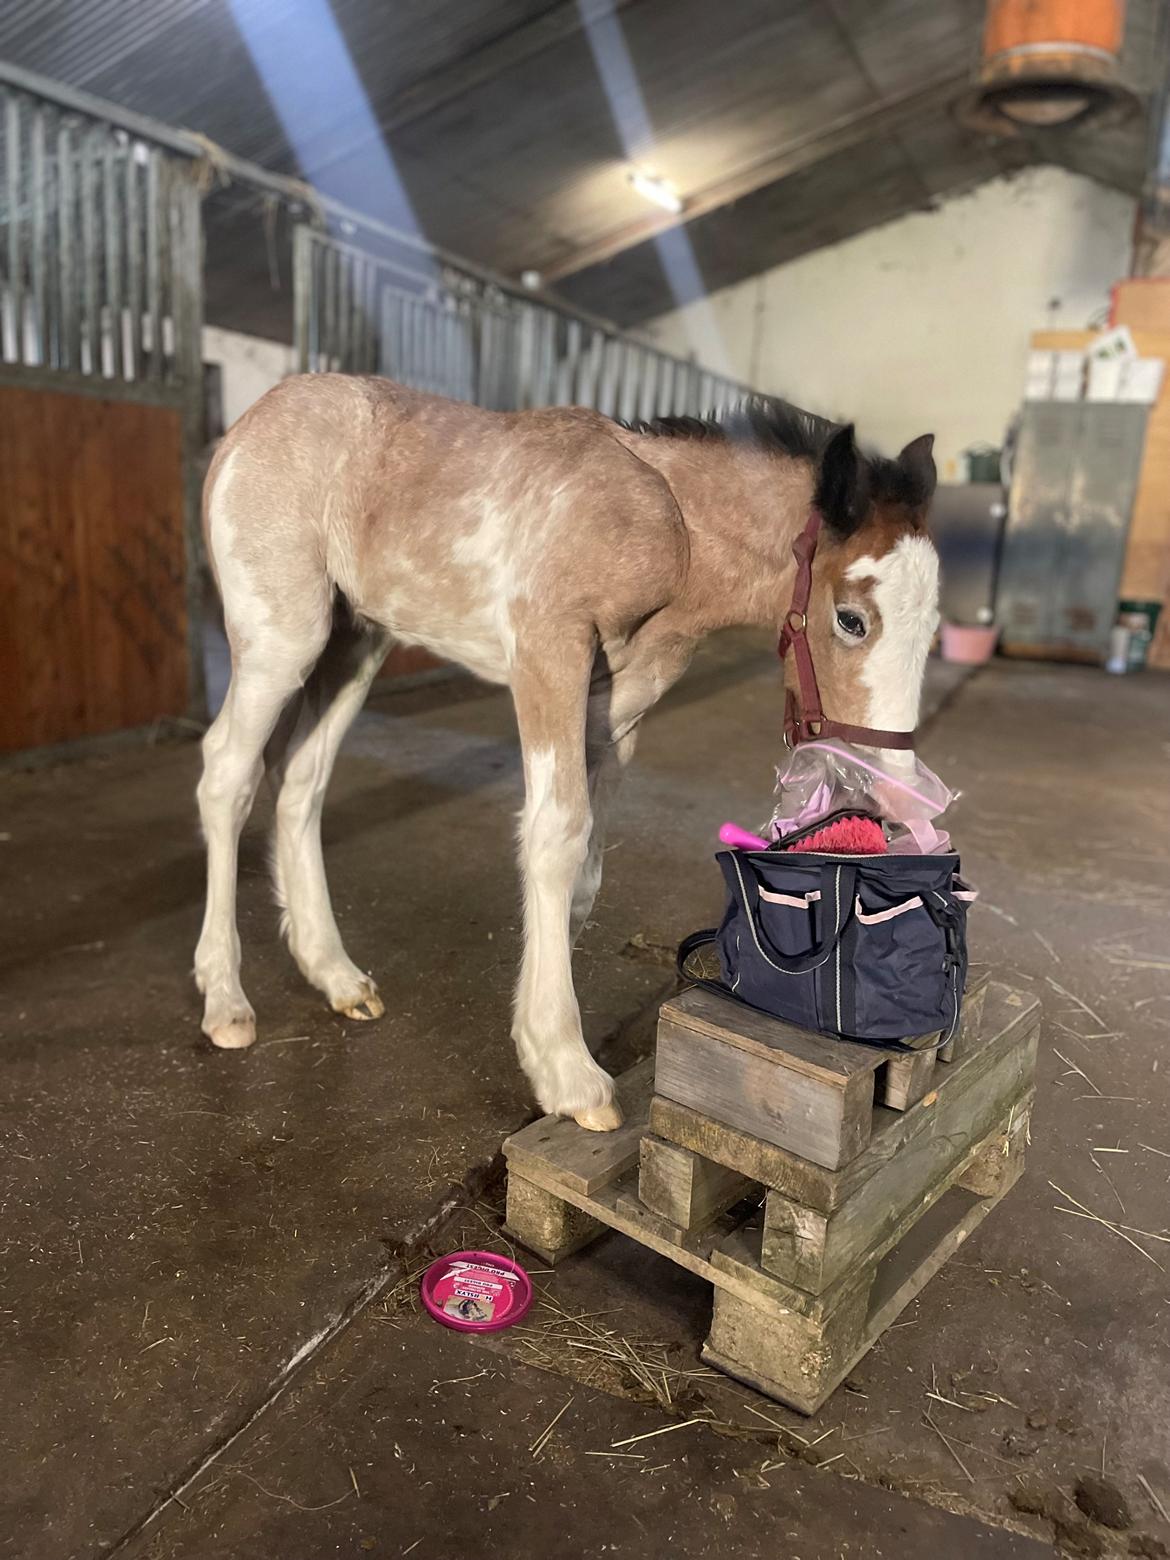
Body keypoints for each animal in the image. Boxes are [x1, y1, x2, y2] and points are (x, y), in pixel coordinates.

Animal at [195, 377, 942, 1135]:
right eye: (851, 619)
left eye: (934, 625)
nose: (897, 795)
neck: (674, 531)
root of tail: (252, 420)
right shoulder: (547, 653)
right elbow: (555, 838)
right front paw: (569, 1072)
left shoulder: (614, 710)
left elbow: (584, 872)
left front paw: (541, 1045)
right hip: (282, 636)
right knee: (227, 774)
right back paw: (225, 999)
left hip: (356, 640)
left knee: (301, 781)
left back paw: (334, 973)